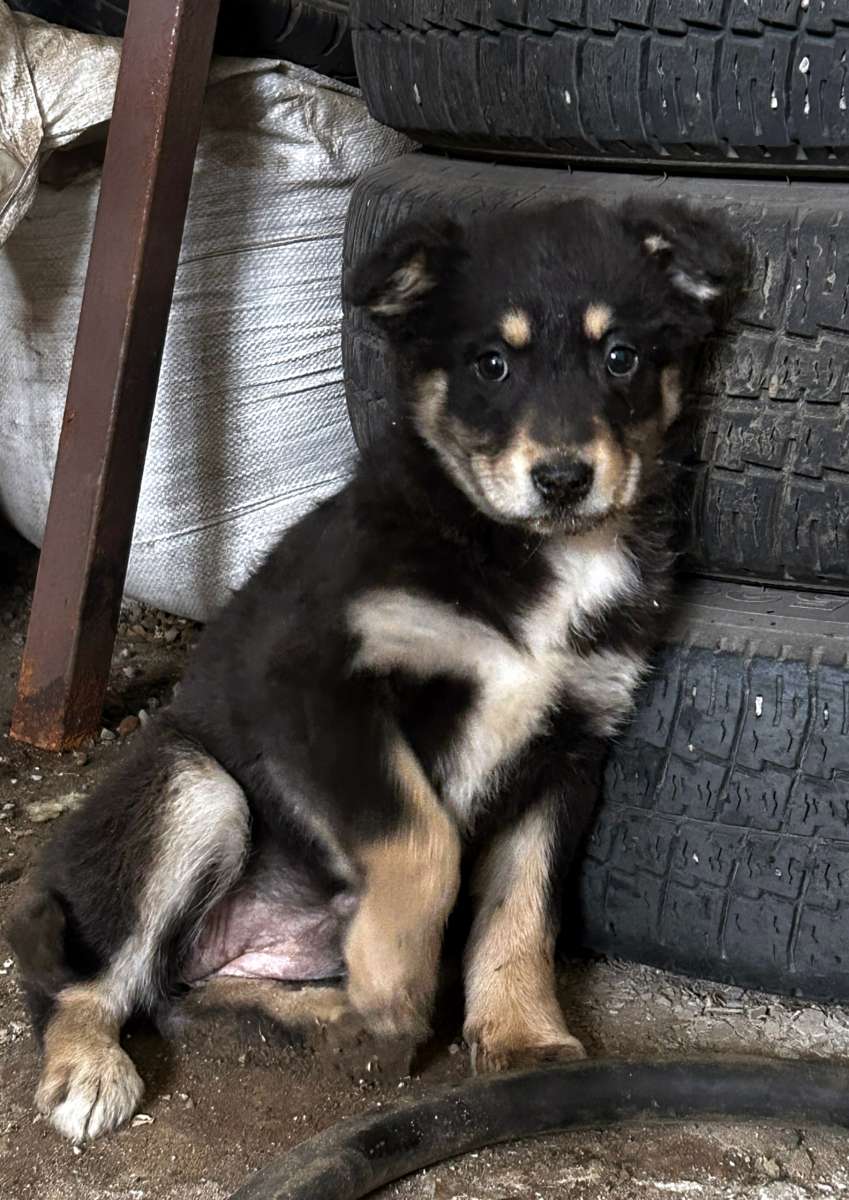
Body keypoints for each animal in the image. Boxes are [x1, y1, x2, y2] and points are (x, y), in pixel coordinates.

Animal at [8, 194, 745, 1142]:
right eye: (490, 364)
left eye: (620, 357)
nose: (563, 478)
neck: (526, 552)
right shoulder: (319, 691)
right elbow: (420, 838)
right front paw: (396, 980)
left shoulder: (566, 749)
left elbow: (521, 910)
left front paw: (522, 1033)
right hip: (193, 787)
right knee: (90, 978)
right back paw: (91, 1065)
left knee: (188, 989)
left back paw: (335, 1018)